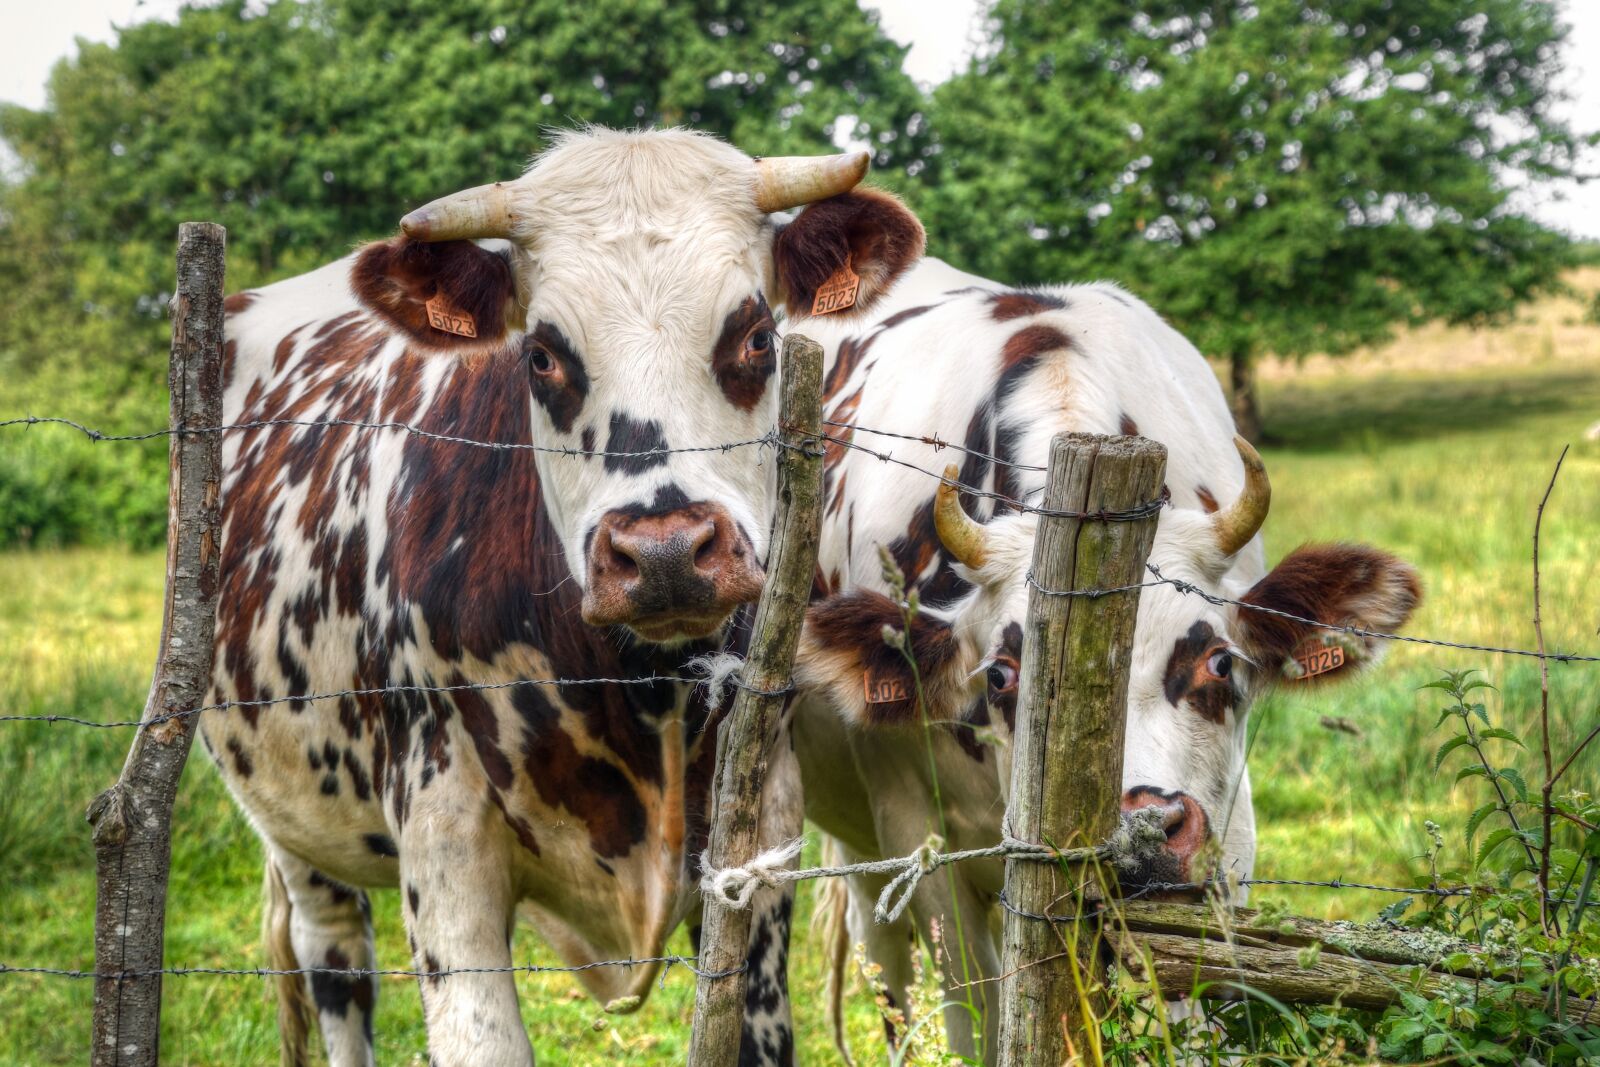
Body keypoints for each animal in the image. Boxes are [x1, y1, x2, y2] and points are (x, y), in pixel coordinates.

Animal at [200, 128, 928, 1067]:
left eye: (758, 337)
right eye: (542, 354)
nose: (664, 553)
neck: (639, 694)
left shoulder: (762, 842)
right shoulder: (443, 846)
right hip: (289, 816)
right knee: (335, 960)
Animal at [772, 192, 1423, 1061]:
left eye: (1221, 662)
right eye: (1000, 675)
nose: (1144, 831)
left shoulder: (1226, 838)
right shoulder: (922, 838)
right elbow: (977, 1015)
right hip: (863, 850)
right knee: (892, 981)